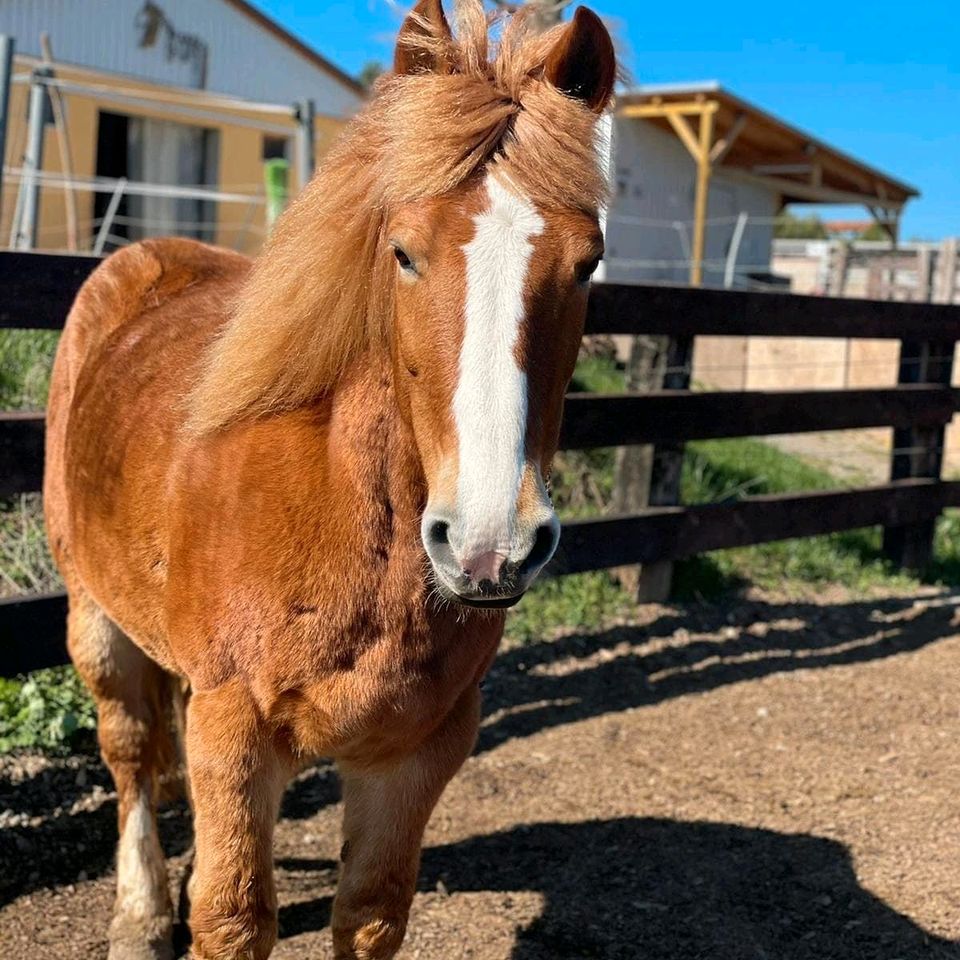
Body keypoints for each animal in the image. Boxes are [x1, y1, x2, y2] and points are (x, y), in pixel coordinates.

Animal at [43, 3, 616, 956]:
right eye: (404, 253)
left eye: (586, 263)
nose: (490, 545)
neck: (349, 516)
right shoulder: (234, 732)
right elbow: (235, 918)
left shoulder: (414, 753)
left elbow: (372, 912)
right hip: (95, 616)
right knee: (129, 754)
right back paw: (141, 910)